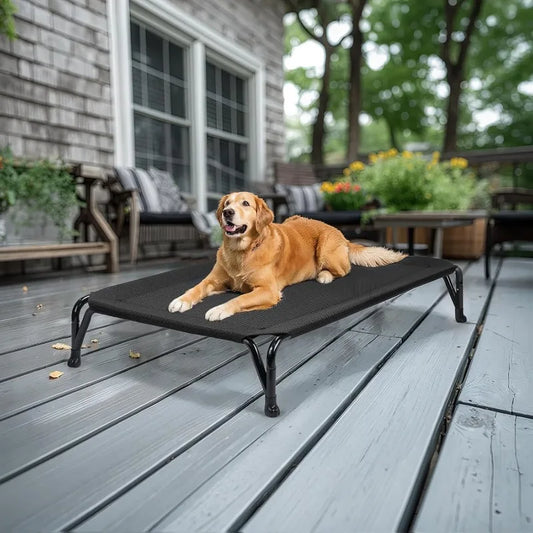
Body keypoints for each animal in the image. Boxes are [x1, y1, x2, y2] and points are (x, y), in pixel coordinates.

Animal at [168, 194, 406, 322]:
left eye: (245, 203)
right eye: (227, 203)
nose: (227, 212)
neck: (241, 251)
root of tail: (341, 233)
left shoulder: (268, 290)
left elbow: (239, 299)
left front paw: (219, 309)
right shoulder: (213, 280)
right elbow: (196, 287)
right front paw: (181, 300)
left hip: (326, 248)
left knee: (345, 270)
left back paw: (324, 276)